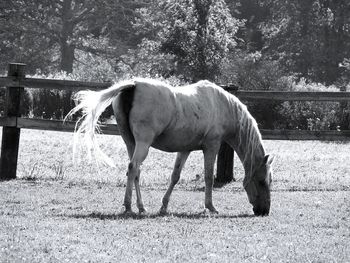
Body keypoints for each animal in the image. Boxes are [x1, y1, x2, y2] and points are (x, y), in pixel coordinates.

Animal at [65, 78, 274, 217]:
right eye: (262, 181)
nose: (264, 211)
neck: (221, 105)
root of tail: (134, 85)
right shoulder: (211, 146)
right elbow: (208, 177)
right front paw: (210, 207)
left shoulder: (185, 149)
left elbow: (175, 176)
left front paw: (164, 206)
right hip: (143, 143)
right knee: (133, 168)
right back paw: (129, 206)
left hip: (131, 143)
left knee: (135, 171)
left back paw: (141, 207)